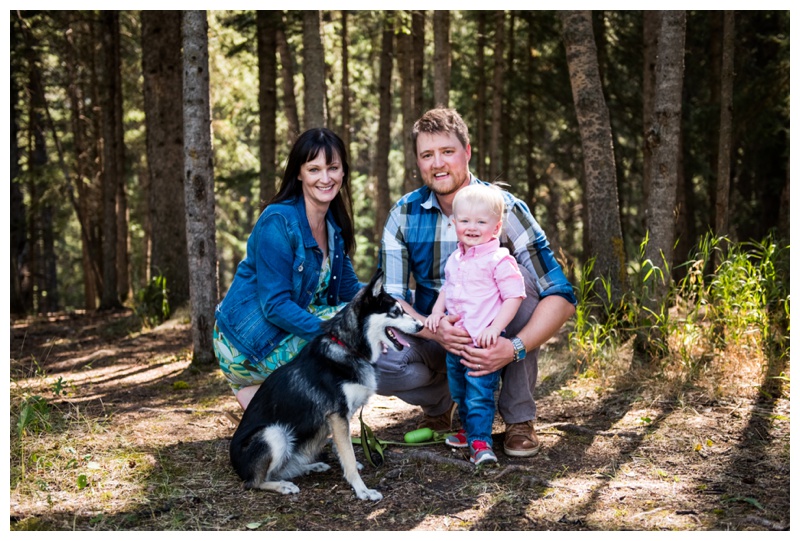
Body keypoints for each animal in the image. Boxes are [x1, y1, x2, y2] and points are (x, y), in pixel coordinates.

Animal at [228, 268, 422, 500]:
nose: (421, 325)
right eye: (395, 312)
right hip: (273, 434)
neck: (347, 347)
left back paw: (310, 467)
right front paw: (362, 490)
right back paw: (283, 486)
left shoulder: (342, 419)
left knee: (280, 470)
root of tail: (234, 465)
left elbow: (344, 450)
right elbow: (348, 456)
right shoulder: (338, 416)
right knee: (255, 482)